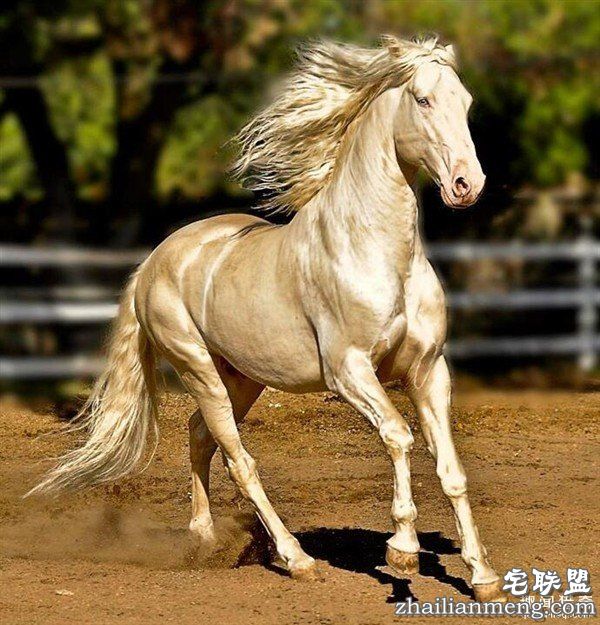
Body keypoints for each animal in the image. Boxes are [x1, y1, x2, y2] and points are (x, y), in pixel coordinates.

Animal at [28, 36, 505, 602]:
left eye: (467, 102)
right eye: (423, 99)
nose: (467, 184)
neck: (379, 253)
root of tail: (153, 262)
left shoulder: (428, 370)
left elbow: (451, 469)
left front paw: (482, 576)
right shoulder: (349, 371)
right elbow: (399, 436)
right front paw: (403, 550)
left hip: (241, 378)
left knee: (199, 436)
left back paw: (204, 540)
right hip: (199, 370)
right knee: (239, 460)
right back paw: (297, 560)